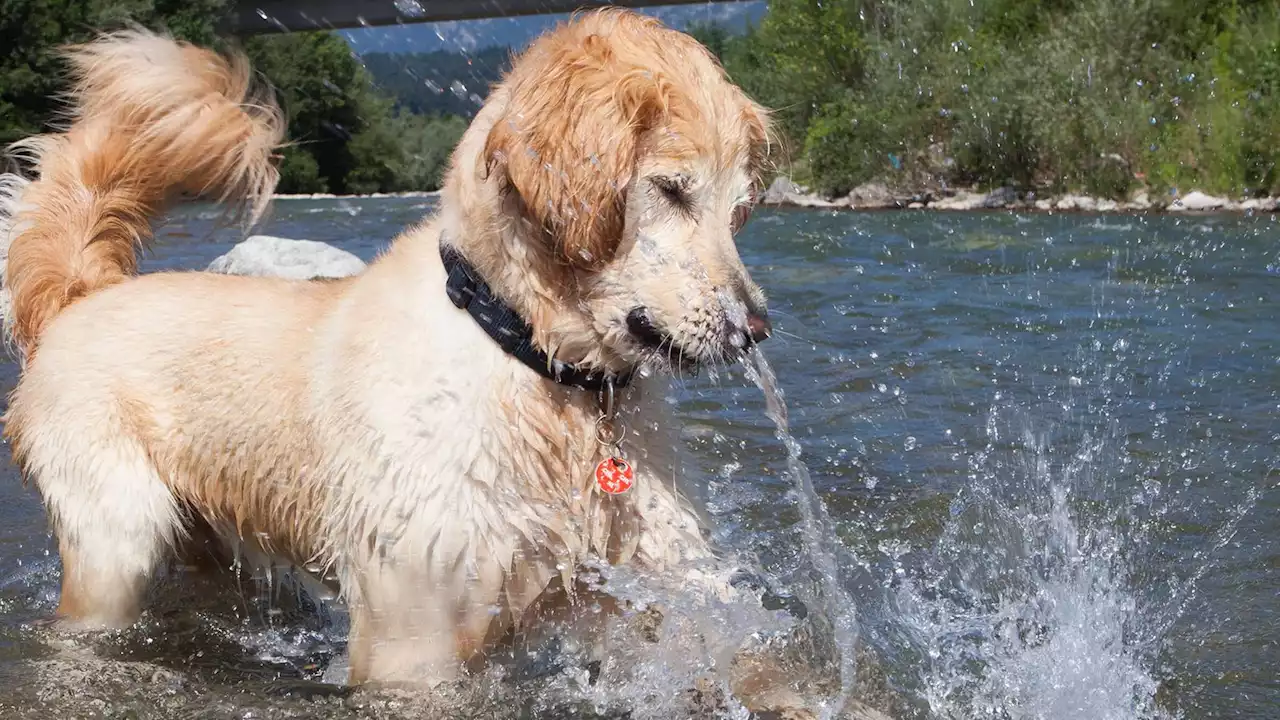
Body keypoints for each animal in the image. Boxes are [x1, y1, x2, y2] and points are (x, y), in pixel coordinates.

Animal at [0, 7, 808, 712]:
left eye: (739, 207)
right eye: (671, 189)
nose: (756, 328)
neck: (541, 371)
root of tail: (83, 296)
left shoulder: (663, 576)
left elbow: (746, 655)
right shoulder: (415, 625)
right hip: (116, 543)